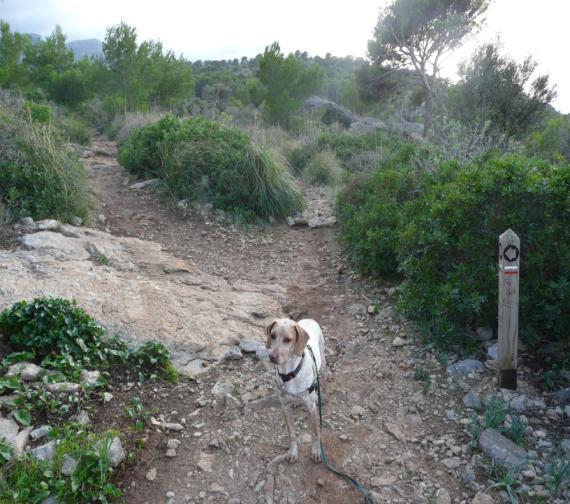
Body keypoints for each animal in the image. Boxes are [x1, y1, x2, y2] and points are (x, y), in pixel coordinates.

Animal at [266, 316, 326, 462]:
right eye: (272, 335)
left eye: (288, 339)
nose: (272, 357)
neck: (289, 373)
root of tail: (309, 319)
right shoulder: (285, 407)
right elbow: (291, 433)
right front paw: (293, 451)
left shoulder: (311, 407)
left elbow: (315, 432)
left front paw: (316, 451)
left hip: (323, 363)